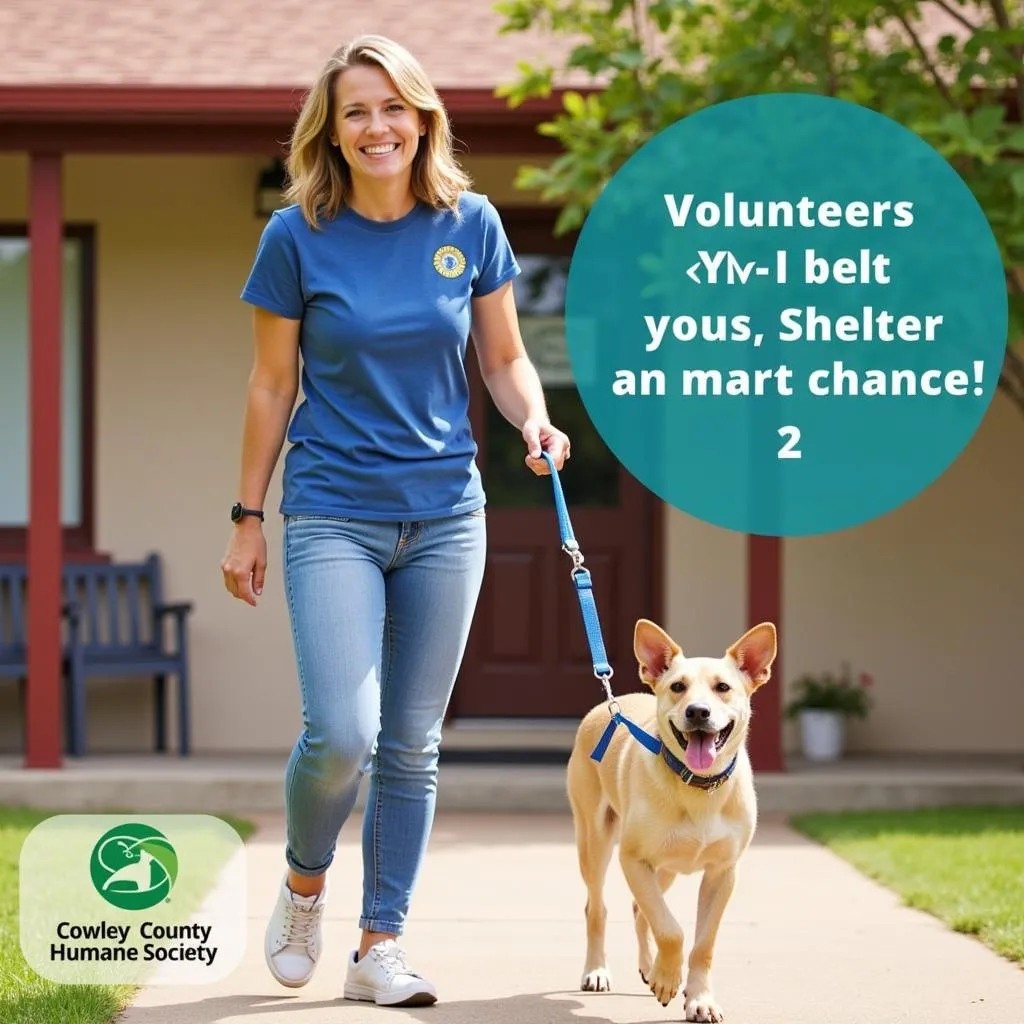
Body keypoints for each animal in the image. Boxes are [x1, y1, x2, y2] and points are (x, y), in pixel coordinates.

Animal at [569, 614, 774, 1024]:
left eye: (723, 687)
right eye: (678, 686)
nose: (697, 711)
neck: (698, 786)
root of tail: (610, 704)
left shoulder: (723, 873)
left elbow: (701, 942)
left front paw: (699, 998)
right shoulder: (633, 859)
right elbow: (671, 930)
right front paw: (669, 978)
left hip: (666, 869)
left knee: (639, 910)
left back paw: (650, 968)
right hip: (596, 844)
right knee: (597, 908)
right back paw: (598, 970)